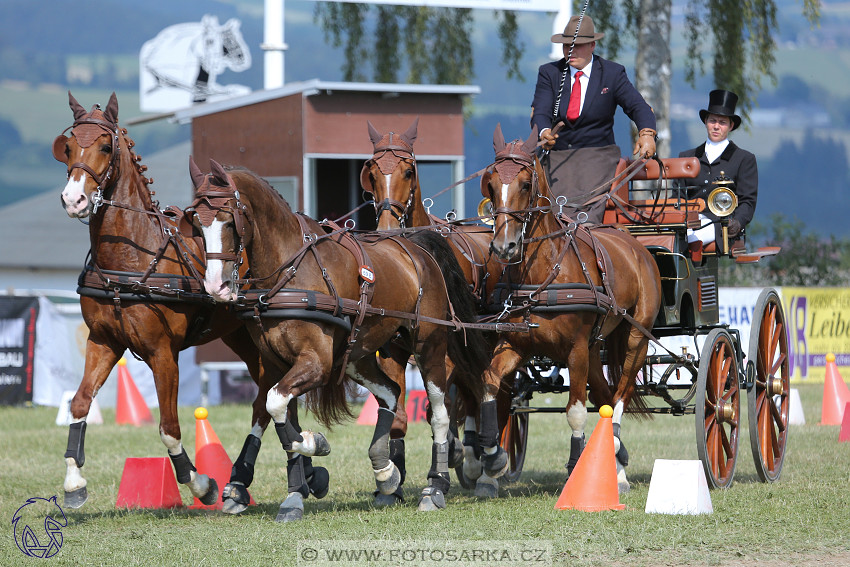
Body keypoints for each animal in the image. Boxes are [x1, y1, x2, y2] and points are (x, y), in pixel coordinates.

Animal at [52, 93, 324, 516]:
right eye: (68, 147)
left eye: (105, 146)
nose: (74, 199)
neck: (132, 256)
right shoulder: (103, 341)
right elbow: (80, 404)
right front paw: (74, 482)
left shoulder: (162, 353)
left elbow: (168, 427)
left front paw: (201, 483)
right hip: (245, 340)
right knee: (276, 398)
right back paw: (299, 473)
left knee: (265, 401)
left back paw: (257, 479)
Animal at [189, 159, 500, 516]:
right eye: (196, 224)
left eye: (229, 219)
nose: (216, 287)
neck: (290, 273)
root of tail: (419, 245)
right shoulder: (276, 364)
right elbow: (277, 414)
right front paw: (294, 493)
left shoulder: (317, 362)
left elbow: (276, 405)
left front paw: (314, 443)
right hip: (360, 355)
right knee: (391, 393)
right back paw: (385, 472)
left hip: (429, 346)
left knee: (440, 413)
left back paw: (435, 486)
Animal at [358, 118, 510, 496]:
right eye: (372, 172)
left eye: (408, 170)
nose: (386, 227)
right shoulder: (393, 351)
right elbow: (397, 411)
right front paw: (392, 478)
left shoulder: (443, 345)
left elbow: (439, 405)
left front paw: (448, 461)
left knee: (480, 385)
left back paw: (482, 456)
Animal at [476, 125, 664, 492]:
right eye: (490, 184)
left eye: (525, 184)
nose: (504, 247)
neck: (544, 270)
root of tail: (636, 245)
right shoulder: (515, 343)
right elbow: (489, 381)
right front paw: (492, 456)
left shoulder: (575, 349)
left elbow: (575, 411)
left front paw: (577, 467)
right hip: (594, 349)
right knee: (606, 397)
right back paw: (617, 465)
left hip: (635, 337)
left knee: (621, 393)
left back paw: (617, 452)